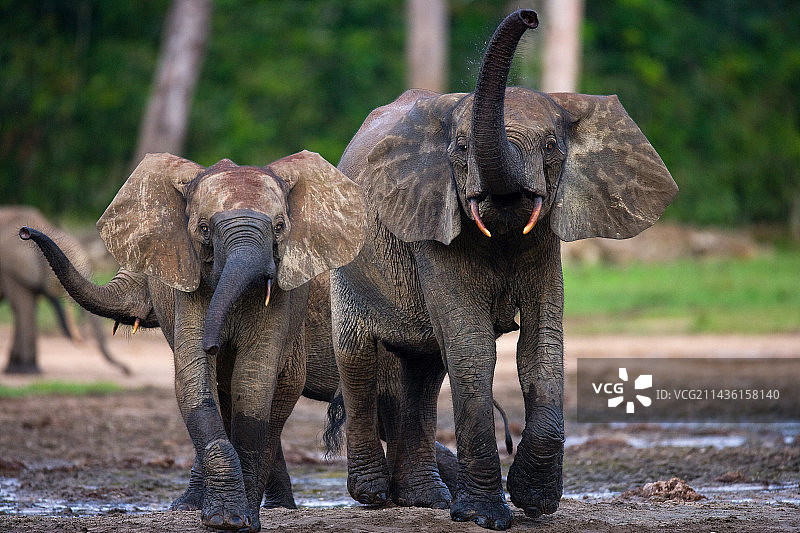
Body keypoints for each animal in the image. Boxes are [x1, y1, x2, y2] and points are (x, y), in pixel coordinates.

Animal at [0, 206, 129, 375]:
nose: (127, 371)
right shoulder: (10, 269)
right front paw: (28, 370)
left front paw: (21, 368)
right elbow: (23, 308)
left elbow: (27, 307)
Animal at [20, 149, 366, 532]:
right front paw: (217, 516)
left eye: (279, 227)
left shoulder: (284, 301)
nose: (24, 232)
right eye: (204, 229)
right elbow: (196, 381)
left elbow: (254, 381)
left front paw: (240, 520)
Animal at [330, 9, 678, 530]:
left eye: (552, 145)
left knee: (424, 372)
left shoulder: (545, 242)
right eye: (460, 147)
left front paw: (535, 501)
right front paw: (487, 516)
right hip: (346, 266)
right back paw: (372, 495)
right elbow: (474, 350)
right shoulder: (434, 227)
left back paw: (425, 499)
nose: (530, 17)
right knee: (358, 359)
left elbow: (542, 345)